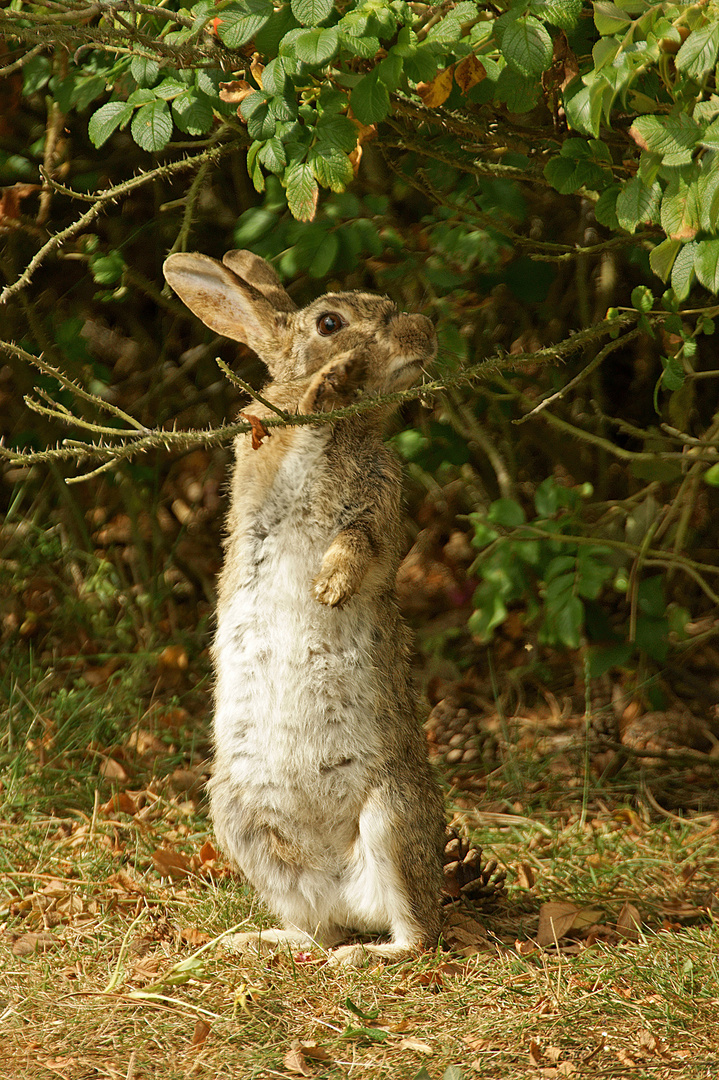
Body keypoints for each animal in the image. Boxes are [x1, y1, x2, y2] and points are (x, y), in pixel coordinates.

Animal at [163, 248, 444, 967]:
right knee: (316, 926)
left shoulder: (381, 508)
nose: (423, 331)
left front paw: (328, 590)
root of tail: (341, 882)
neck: (344, 428)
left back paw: (362, 956)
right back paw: (256, 941)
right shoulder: (260, 463)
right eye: (330, 322)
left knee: (415, 935)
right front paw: (326, 381)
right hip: (243, 824)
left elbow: (361, 543)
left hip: (391, 814)